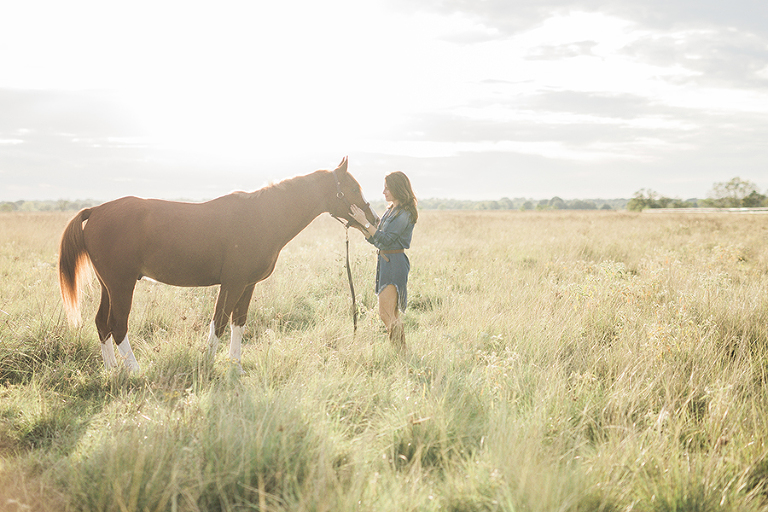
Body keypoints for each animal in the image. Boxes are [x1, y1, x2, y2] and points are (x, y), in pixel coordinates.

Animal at [58, 157, 378, 372]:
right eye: (352, 188)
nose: (374, 221)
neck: (262, 216)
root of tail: (95, 210)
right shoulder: (232, 283)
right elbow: (219, 323)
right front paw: (209, 365)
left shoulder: (247, 285)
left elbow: (238, 323)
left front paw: (235, 366)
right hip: (121, 286)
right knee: (117, 325)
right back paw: (135, 371)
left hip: (108, 286)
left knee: (102, 324)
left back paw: (113, 371)